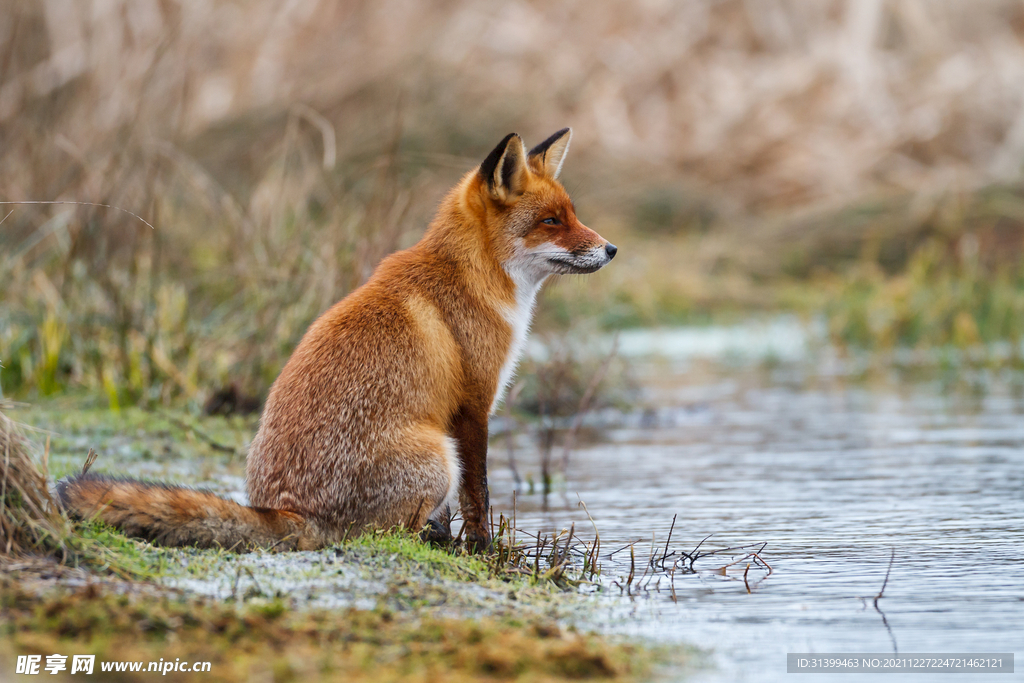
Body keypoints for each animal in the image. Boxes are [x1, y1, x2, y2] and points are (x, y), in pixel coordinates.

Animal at [59, 129, 614, 557]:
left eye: (572, 214)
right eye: (551, 221)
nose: (610, 249)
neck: (471, 276)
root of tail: (289, 510)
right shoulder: (472, 407)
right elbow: (478, 495)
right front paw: (482, 547)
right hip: (438, 455)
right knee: (390, 533)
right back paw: (435, 541)